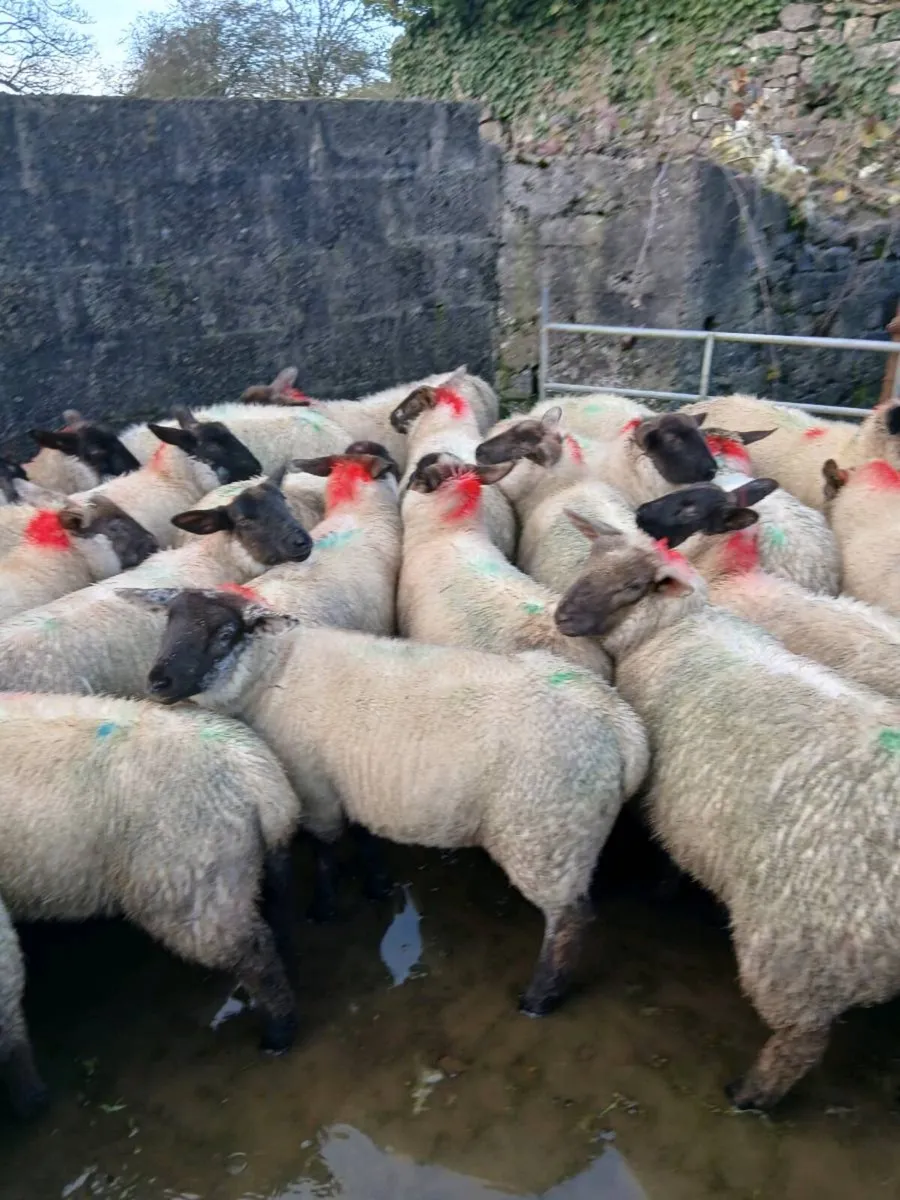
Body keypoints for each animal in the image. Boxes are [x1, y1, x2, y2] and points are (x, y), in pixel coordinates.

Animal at [0, 691, 302, 1057]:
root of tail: (257, 773)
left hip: (187, 881)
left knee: (253, 952)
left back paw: (279, 1032)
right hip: (250, 865)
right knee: (277, 915)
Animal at [125, 586, 649, 1017]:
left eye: (225, 634)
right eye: (168, 620)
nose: (158, 683)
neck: (275, 670)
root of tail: (622, 726)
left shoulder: (314, 789)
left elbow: (325, 850)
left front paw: (324, 908)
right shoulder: (351, 784)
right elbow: (363, 838)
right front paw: (377, 885)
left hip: (545, 835)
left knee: (569, 921)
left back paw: (539, 999)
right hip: (567, 835)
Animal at [554, 516, 900, 1110]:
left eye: (632, 587)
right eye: (587, 563)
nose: (562, 617)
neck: (676, 628)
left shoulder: (666, 805)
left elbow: (667, 856)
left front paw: (664, 888)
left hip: (799, 953)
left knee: (798, 1043)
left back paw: (749, 1096)